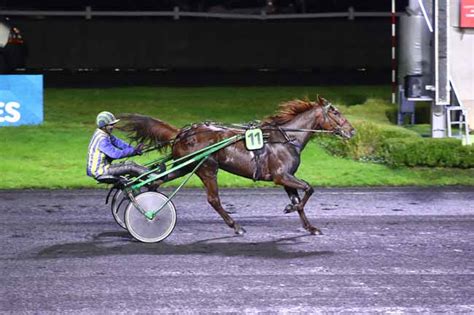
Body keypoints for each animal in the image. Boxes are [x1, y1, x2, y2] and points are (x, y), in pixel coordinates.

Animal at [120, 96, 354, 237]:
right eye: (335, 113)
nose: (352, 131)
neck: (287, 138)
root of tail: (183, 132)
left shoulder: (288, 177)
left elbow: (300, 200)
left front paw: (309, 226)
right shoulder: (281, 176)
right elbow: (309, 188)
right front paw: (290, 208)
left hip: (185, 165)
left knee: (156, 181)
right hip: (207, 168)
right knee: (213, 199)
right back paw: (236, 226)